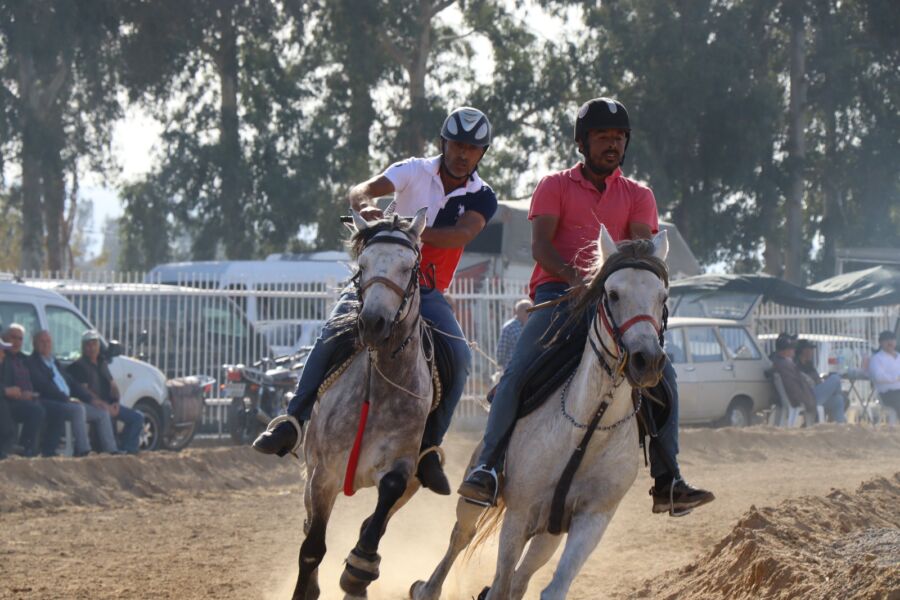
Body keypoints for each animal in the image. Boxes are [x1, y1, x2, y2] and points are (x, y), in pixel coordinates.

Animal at [294, 207, 434, 600]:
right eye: (364, 264)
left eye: (408, 267)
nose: (372, 322)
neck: (380, 385)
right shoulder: (324, 474)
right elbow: (312, 549)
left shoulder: (402, 467)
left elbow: (383, 503)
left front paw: (358, 570)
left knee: (376, 520)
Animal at [412, 226, 672, 600]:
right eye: (613, 293)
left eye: (662, 297)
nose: (647, 361)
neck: (588, 428)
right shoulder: (519, 516)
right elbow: (500, 585)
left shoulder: (591, 520)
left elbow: (551, 588)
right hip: (479, 500)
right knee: (460, 538)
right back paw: (427, 588)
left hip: (548, 535)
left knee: (521, 577)